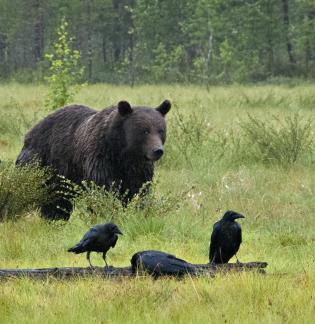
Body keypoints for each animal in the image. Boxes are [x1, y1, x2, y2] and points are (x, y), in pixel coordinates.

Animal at [16, 99, 172, 220]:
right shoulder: (100, 158)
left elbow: (139, 190)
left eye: (161, 130)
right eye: (145, 131)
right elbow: (103, 188)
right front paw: (107, 211)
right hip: (41, 161)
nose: (157, 151)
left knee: (58, 199)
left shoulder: (138, 168)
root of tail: (31, 130)